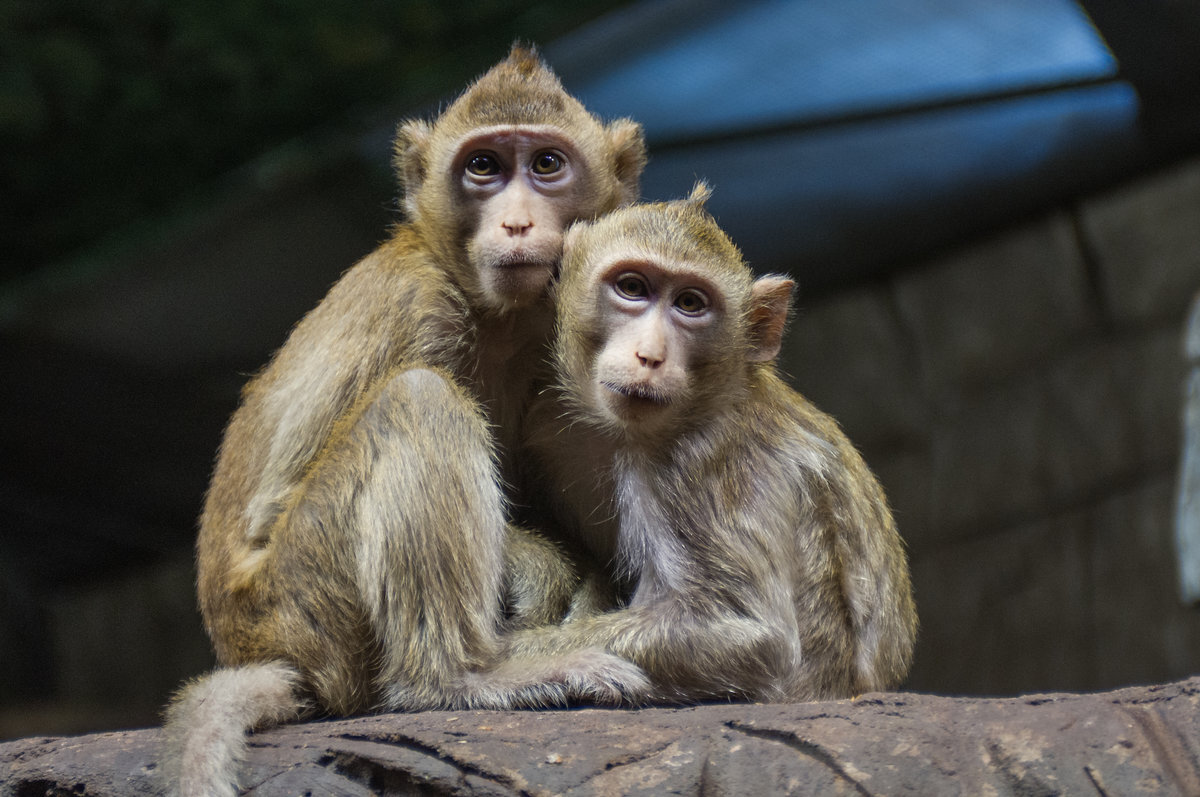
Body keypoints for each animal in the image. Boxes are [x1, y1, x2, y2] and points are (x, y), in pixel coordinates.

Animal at [160, 48, 652, 797]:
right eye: (483, 167)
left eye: (546, 164)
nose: (515, 223)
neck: (493, 312)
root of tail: (249, 641)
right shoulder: (416, 305)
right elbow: (281, 496)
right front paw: (538, 568)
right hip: (304, 603)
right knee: (416, 400)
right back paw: (454, 681)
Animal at [506, 184, 916, 705]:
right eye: (632, 288)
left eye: (690, 303)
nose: (650, 356)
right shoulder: (547, 422)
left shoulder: (698, 465)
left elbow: (753, 634)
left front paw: (507, 661)